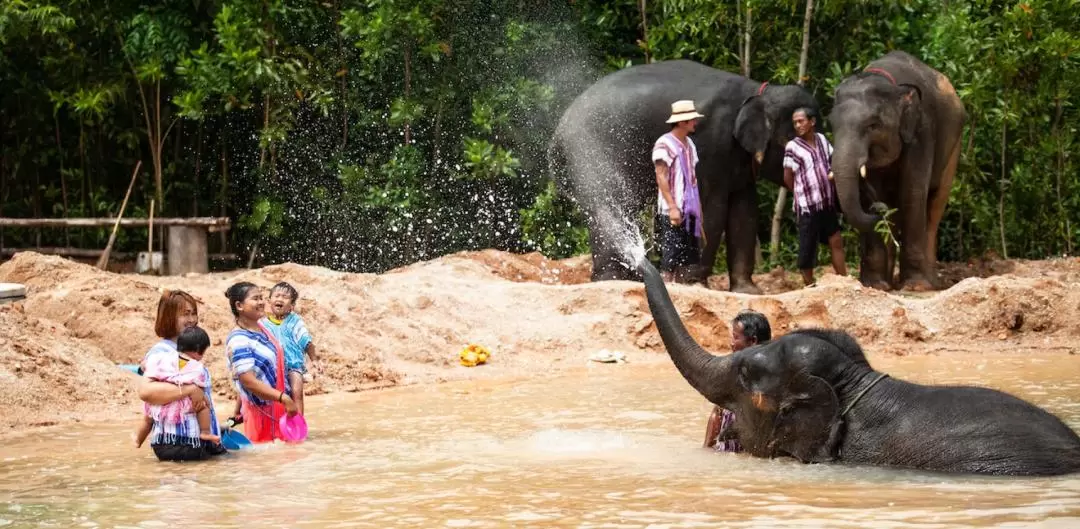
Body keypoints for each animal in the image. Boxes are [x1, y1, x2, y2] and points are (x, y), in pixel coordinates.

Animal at [552, 60, 812, 293]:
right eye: (798, 139)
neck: (758, 91)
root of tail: (558, 131)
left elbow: (744, 210)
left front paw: (748, 292)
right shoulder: (710, 144)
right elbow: (710, 207)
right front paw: (694, 283)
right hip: (592, 153)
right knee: (609, 208)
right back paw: (613, 280)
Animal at [829, 51, 967, 291]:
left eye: (873, 125)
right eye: (831, 124)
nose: (880, 209)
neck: (888, 82)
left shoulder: (922, 132)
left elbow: (913, 193)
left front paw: (915, 286)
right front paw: (876, 285)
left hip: (954, 147)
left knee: (935, 206)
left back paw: (932, 282)